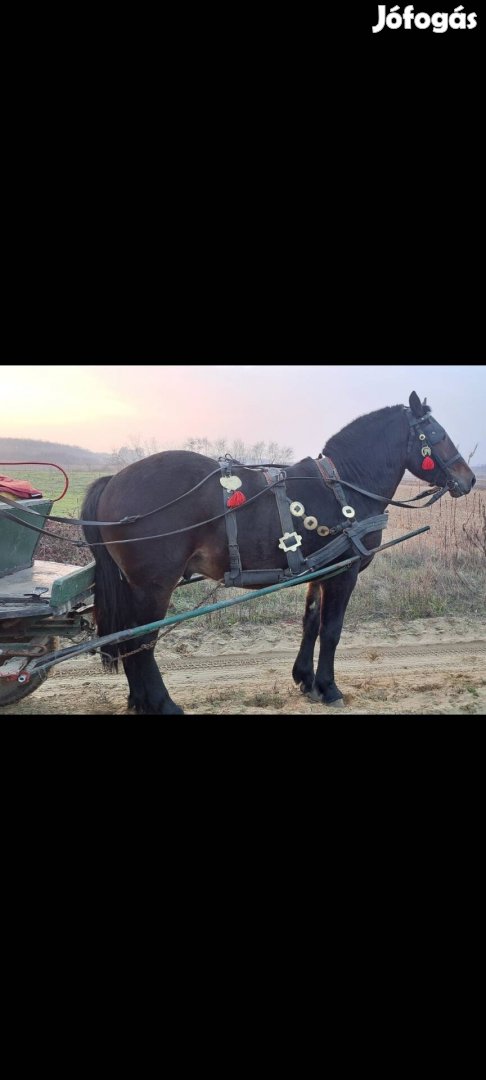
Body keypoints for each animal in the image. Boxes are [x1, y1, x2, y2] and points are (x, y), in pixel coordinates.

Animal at [81, 393, 477, 712]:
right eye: (438, 435)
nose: (470, 479)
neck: (343, 486)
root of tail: (113, 481)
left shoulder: (320, 571)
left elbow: (311, 624)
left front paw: (306, 680)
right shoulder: (342, 573)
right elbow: (331, 630)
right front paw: (330, 688)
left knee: (128, 640)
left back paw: (139, 700)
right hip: (153, 587)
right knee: (141, 641)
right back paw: (162, 703)